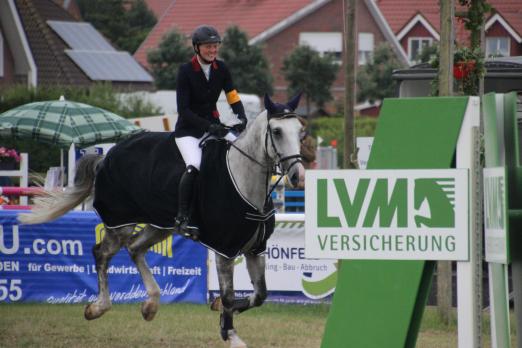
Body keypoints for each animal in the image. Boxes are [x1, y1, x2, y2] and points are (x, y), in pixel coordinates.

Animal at [19, 94, 304, 346]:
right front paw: (230, 334)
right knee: (102, 253)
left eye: (300, 131)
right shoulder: (224, 249)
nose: (298, 176)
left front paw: (220, 310)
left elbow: (260, 294)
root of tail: (106, 156)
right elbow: (229, 294)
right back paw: (98, 307)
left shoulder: (256, 249)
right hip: (121, 223)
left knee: (135, 249)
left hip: (160, 226)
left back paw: (151, 304)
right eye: (277, 131)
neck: (244, 181)